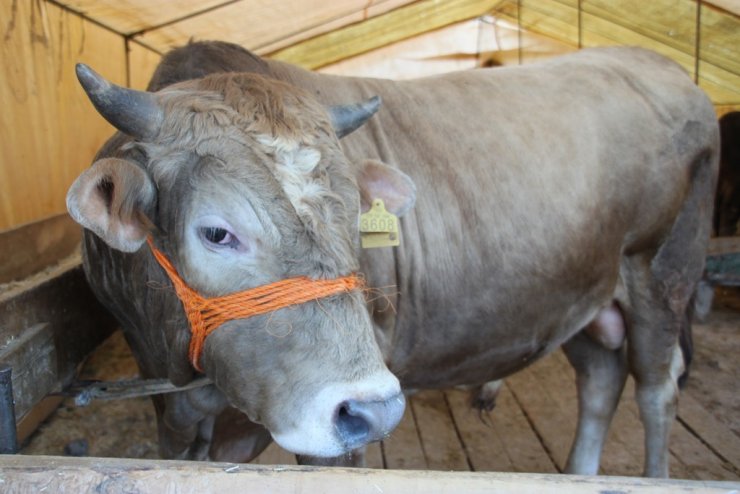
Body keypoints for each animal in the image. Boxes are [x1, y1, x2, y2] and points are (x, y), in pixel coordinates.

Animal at [68, 41, 716, 474]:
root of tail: (661, 66)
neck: (180, 374)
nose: (373, 411)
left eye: (357, 221)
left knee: (656, 390)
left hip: (663, 273)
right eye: (216, 232)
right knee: (601, 380)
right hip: (582, 295)